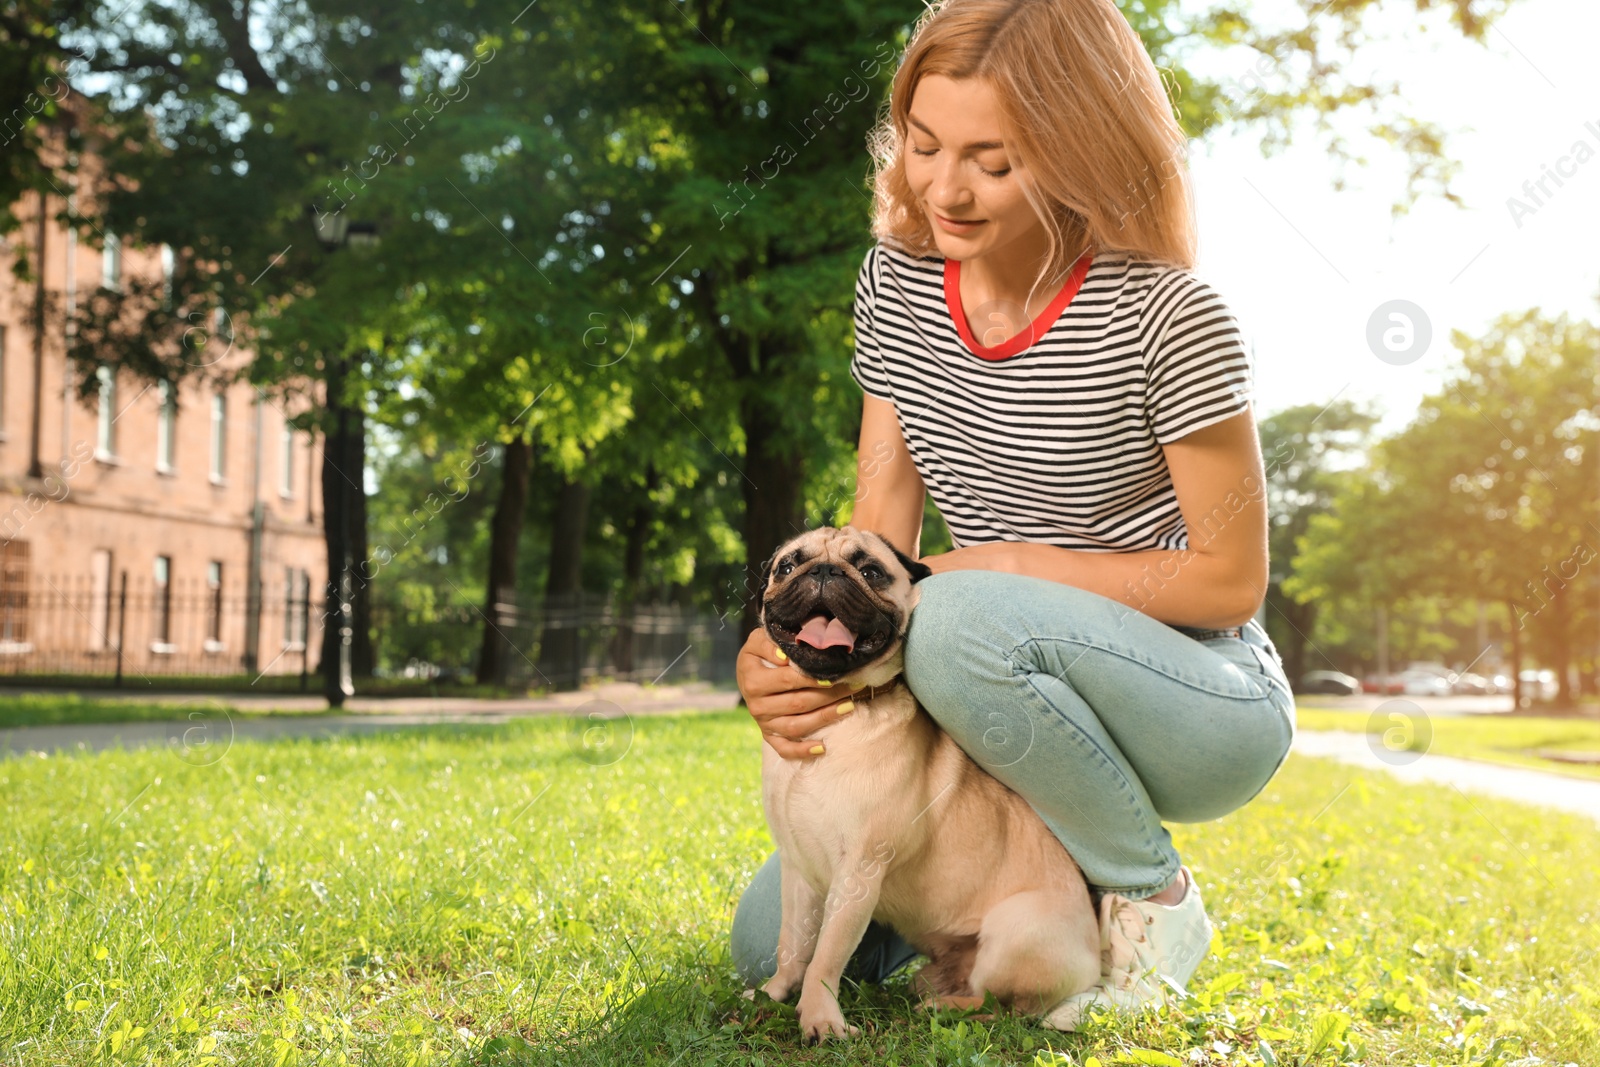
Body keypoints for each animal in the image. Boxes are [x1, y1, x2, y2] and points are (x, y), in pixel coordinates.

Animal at [745, 524, 1100, 1043]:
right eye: (787, 566)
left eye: (871, 571)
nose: (825, 571)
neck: (834, 719)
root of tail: (1097, 963)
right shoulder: (800, 870)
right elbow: (792, 945)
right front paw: (774, 994)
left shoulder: (858, 876)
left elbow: (827, 954)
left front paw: (821, 1018)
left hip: (1010, 937)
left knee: (1010, 1008)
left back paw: (946, 1008)